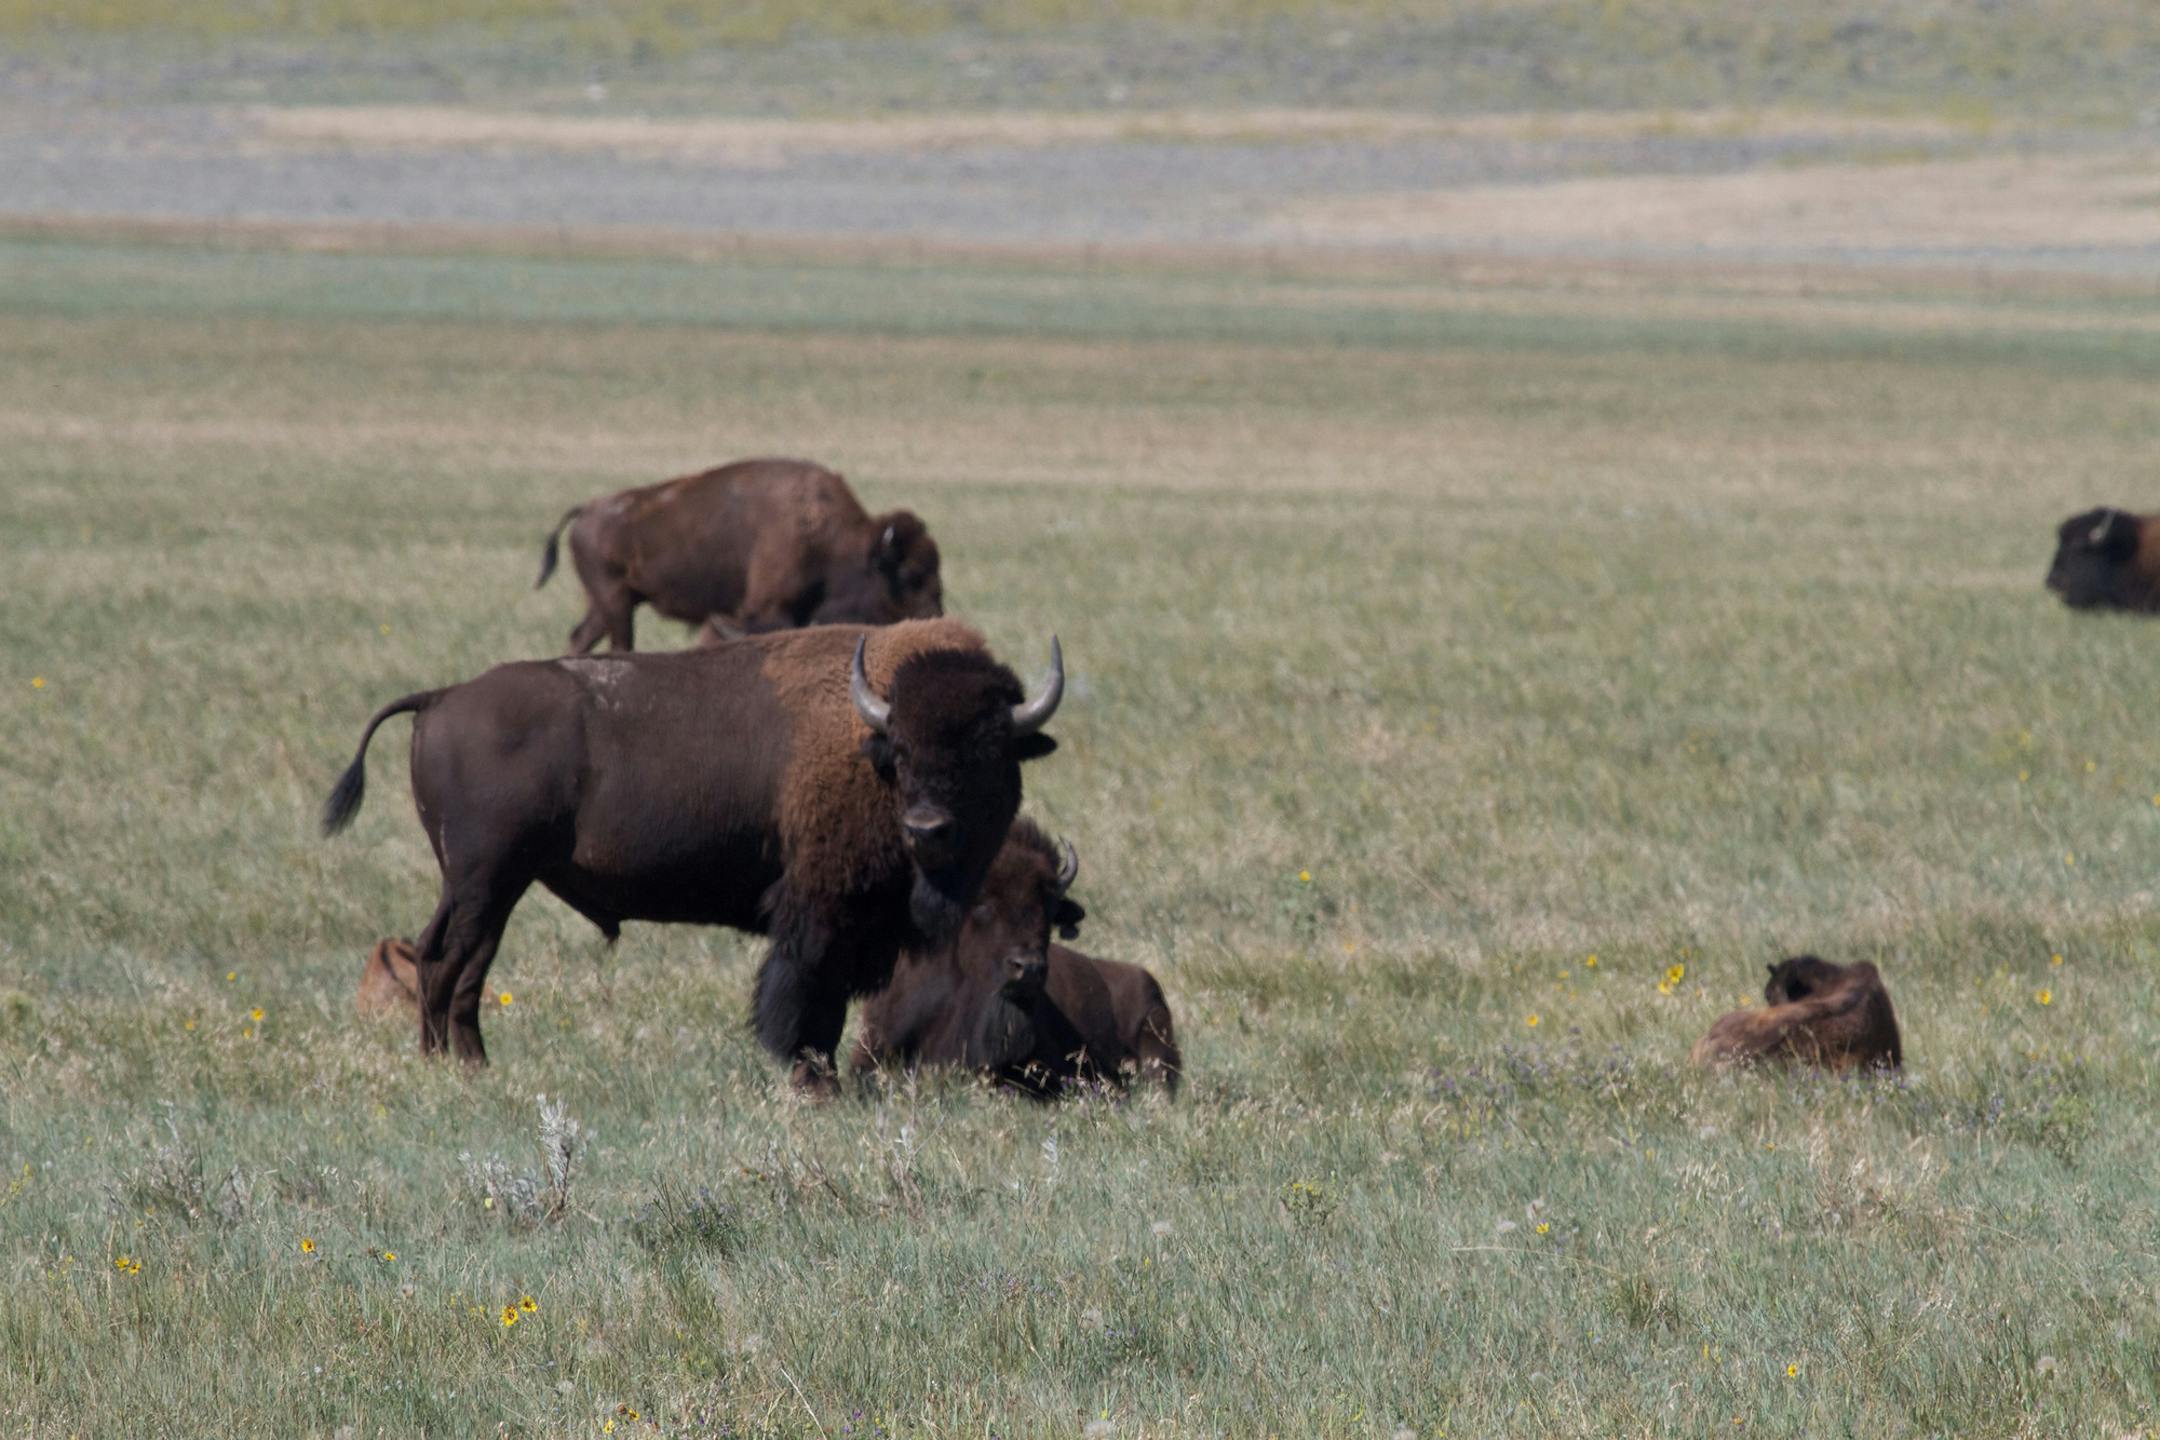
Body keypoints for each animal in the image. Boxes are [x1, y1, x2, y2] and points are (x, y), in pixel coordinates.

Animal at [321, 619, 1062, 1090]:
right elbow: (807, 998)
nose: (927, 827)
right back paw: (463, 1069)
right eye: (901, 750)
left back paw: (455, 1065)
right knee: (453, 960)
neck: (864, 742)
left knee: (445, 957)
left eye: (989, 748)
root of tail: (442, 698)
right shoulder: (818, 913)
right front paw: (812, 1081)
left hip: (479, 884)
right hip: (489, 879)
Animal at [535, 457, 944, 653]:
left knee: (580, 637)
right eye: (910, 575)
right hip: (615, 601)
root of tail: (587, 510)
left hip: (611, 602)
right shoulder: (767, 608)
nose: (935, 617)